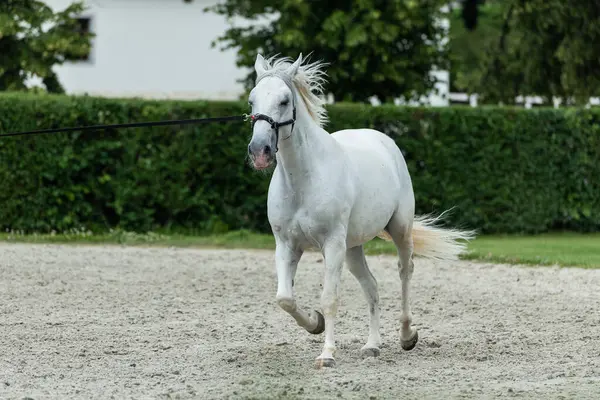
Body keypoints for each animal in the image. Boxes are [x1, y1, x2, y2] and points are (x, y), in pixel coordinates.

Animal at [246, 53, 476, 368]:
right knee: (372, 286)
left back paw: (407, 336)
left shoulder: (332, 244)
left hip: (399, 231)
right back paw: (372, 346)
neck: (303, 179)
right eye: (251, 101)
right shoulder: (286, 244)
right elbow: (284, 298)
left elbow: (330, 298)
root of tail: (383, 140)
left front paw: (327, 355)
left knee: (405, 271)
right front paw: (315, 323)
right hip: (352, 248)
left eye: (283, 100)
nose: (259, 151)